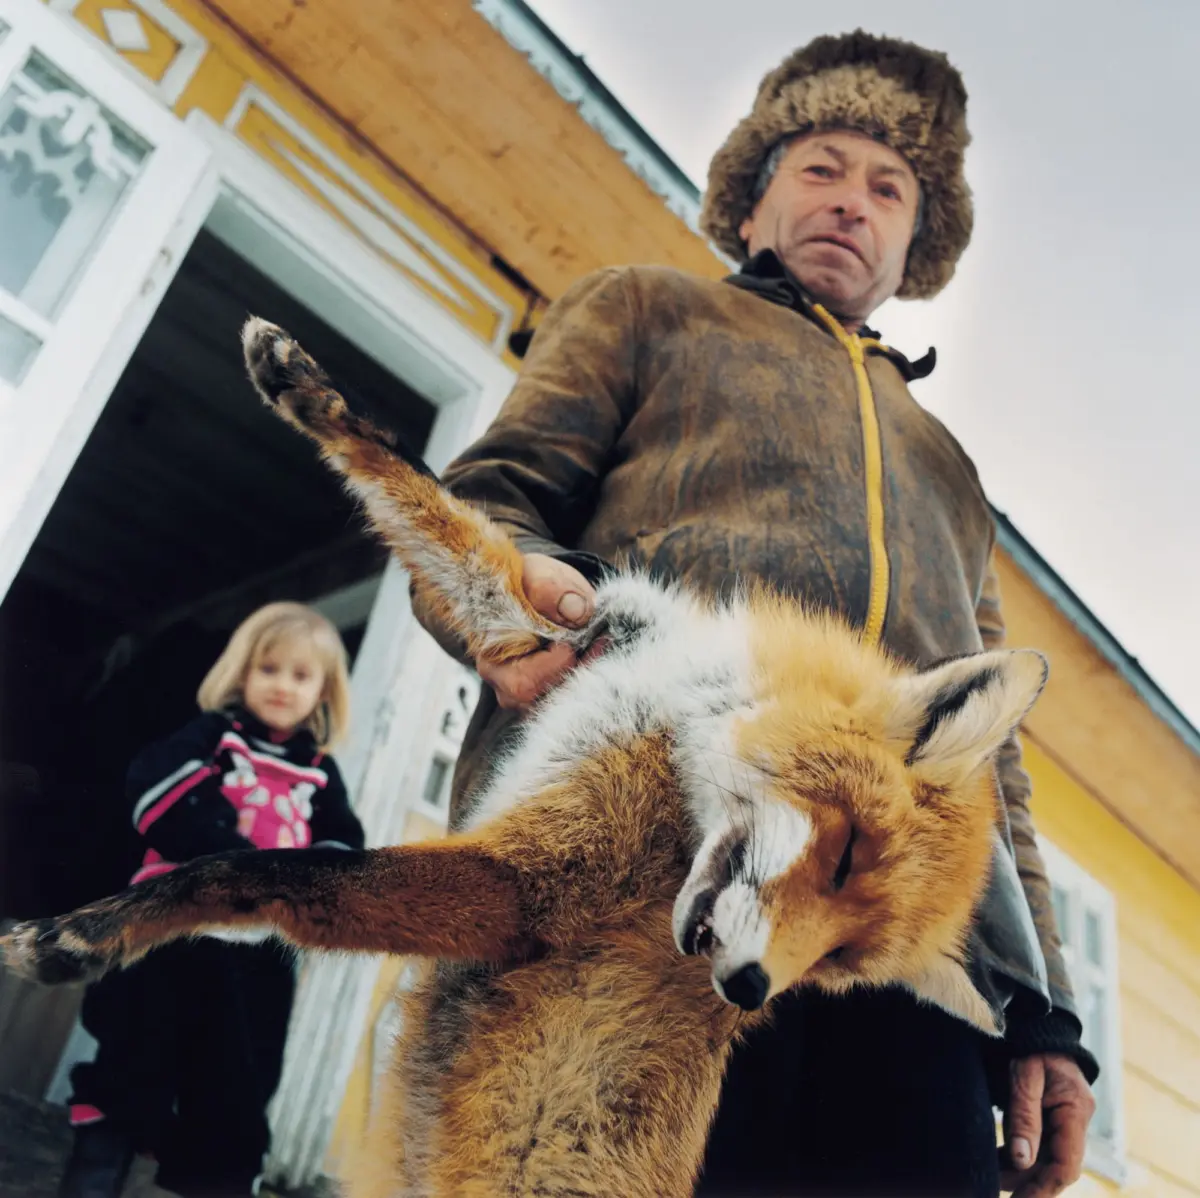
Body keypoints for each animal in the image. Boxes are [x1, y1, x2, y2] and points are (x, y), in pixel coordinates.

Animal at [2, 317, 1048, 1198]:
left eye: (837, 964)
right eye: (842, 860)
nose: (748, 987)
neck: (678, 721)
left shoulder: (528, 887)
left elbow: (265, 871)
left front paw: (79, 935)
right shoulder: (561, 631)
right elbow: (429, 499)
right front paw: (306, 388)